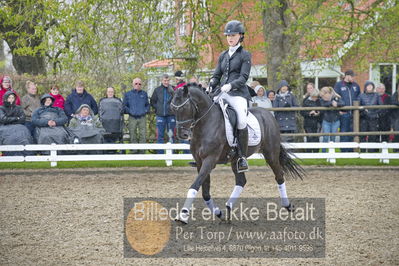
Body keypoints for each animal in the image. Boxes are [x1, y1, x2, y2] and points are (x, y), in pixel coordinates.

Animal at [170, 82, 304, 222]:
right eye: (172, 109)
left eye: (185, 107)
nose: (182, 134)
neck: (206, 124)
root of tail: (268, 115)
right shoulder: (200, 162)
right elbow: (205, 192)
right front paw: (219, 214)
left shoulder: (210, 160)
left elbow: (195, 186)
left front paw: (183, 215)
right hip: (236, 160)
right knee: (241, 181)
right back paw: (227, 208)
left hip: (271, 154)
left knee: (279, 176)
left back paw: (288, 206)